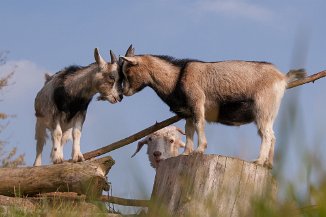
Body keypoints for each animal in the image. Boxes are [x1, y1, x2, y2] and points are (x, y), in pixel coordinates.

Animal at [119, 45, 306, 168]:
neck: (177, 77)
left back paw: (258, 161)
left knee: (267, 135)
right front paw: (186, 153)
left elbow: (199, 124)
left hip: (263, 109)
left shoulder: (197, 102)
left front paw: (200, 149)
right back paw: (268, 164)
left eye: (128, 71)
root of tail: (282, 78)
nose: (124, 92)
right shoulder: (187, 112)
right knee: (272, 135)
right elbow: (189, 131)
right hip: (268, 113)